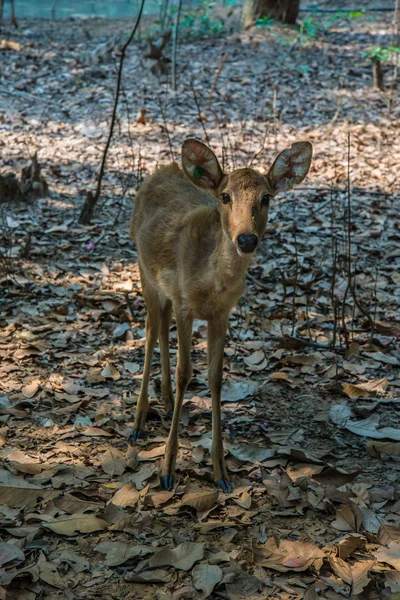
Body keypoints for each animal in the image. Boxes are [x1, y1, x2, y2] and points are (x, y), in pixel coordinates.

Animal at [131, 137, 312, 492]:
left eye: (266, 197)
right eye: (226, 196)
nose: (246, 238)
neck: (209, 283)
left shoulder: (222, 313)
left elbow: (215, 377)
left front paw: (222, 472)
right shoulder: (185, 302)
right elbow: (185, 372)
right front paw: (167, 469)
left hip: (164, 290)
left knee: (160, 327)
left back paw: (167, 401)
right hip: (145, 271)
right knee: (149, 330)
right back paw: (139, 422)